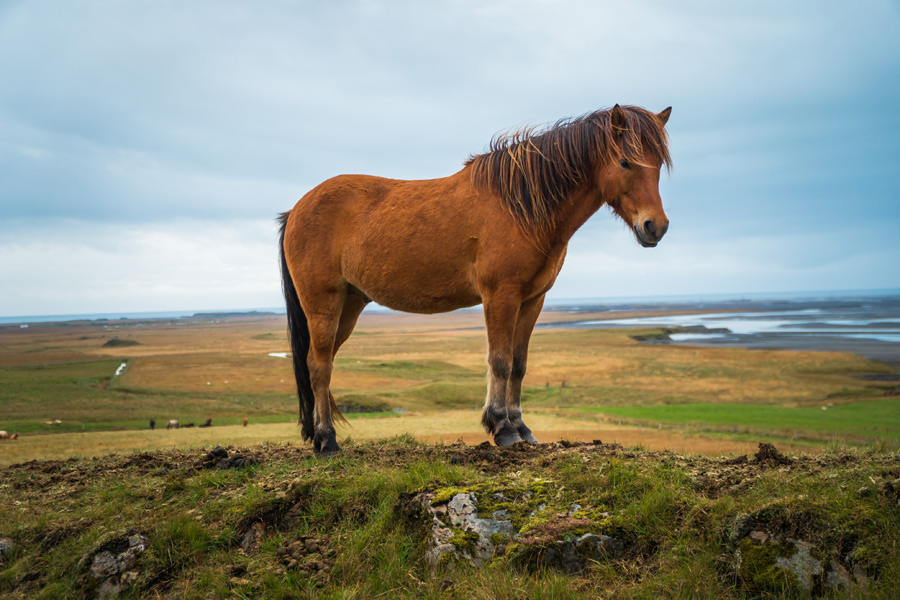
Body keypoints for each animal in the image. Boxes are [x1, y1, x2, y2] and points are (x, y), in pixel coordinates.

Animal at [278, 105, 672, 458]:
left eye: (658, 167)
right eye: (626, 162)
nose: (656, 226)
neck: (522, 207)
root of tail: (296, 210)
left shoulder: (532, 300)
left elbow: (518, 363)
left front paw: (522, 429)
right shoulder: (501, 295)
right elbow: (499, 360)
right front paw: (502, 428)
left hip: (350, 304)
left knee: (320, 362)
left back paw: (317, 436)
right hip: (323, 303)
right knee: (319, 366)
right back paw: (328, 441)